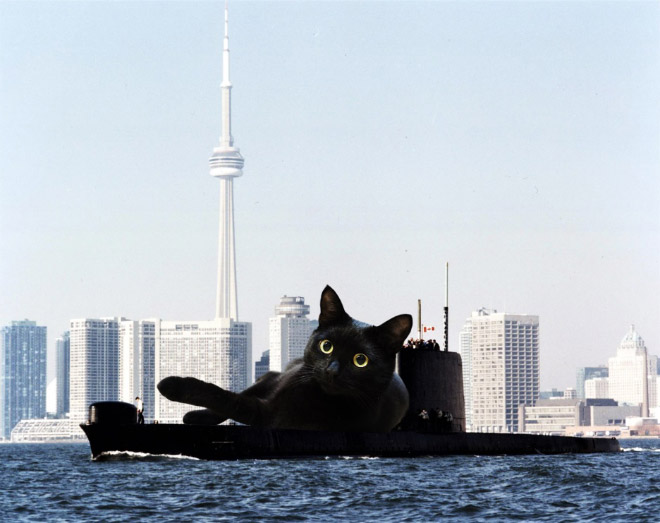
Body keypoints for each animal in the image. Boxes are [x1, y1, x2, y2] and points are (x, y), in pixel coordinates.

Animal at [157, 288, 410, 432]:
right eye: (326, 346)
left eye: (360, 360)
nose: (332, 370)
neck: (315, 397)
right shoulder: (274, 386)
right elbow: (228, 395)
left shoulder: (268, 416)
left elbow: (228, 399)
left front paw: (172, 385)